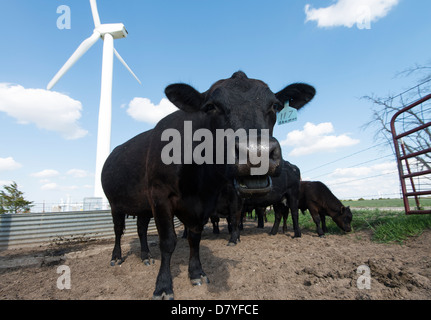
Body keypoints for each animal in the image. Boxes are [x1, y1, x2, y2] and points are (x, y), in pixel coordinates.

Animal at [103, 71, 316, 298]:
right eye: (211, 106)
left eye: (275, 105)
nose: (256, 152)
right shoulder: (160, 196)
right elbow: (168, 241)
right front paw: (163, 286)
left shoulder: (205, 203)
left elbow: (195, 238)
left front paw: (196, 273)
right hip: (115, 204)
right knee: (118, 230)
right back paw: (116, 257)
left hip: (143, 206)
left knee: (141, 229)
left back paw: (145, 256)